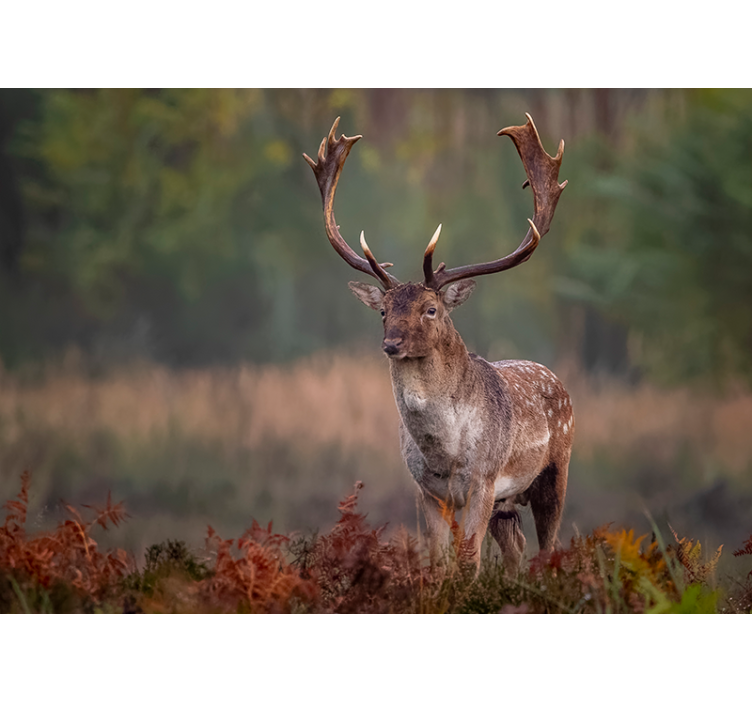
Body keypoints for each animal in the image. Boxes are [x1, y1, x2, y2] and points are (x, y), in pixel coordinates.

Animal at [303, 113, 573, 576]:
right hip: (507, 502)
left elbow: (467, 558)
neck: (445, 455)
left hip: (555, 470)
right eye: (383, 310)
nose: (391, 343)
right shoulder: (426, 489)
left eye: (431, 309)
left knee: (547, 548)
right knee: (516, 546)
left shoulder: (484, 479)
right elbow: (437, 558)